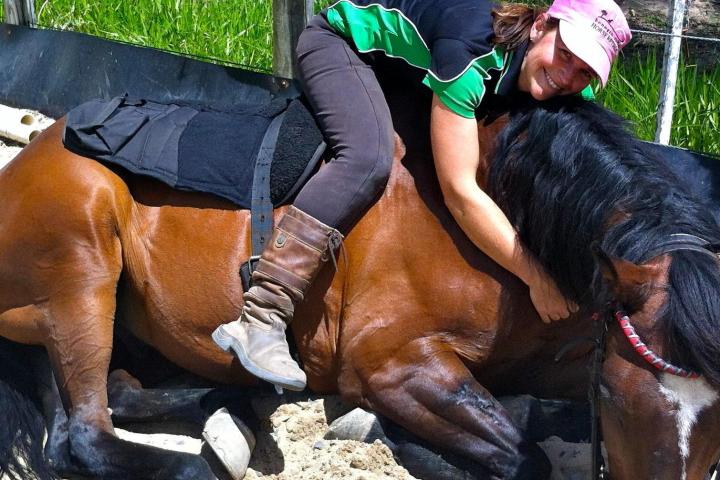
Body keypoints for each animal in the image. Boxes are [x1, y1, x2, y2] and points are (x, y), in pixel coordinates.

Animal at [1, 82, 719, 480]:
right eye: (615, 398)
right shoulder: (392, 365)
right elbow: (524, 457)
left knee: (118, 394)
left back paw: (233, 402)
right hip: (82, 272)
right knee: (84, 439)